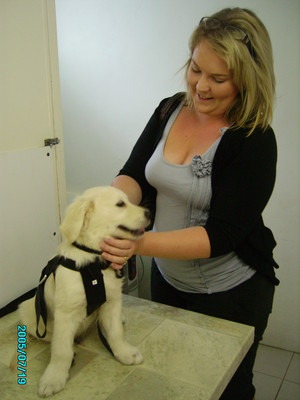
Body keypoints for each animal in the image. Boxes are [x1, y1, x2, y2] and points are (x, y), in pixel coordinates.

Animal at [14, 187, 150, 396]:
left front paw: (124, 353)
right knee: (50, 337)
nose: (149, 213)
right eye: (120, 204)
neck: (94, 265)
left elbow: (116, 333)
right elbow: (61, 349)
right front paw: (54, 377)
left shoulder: (112, 302)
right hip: (27, 311)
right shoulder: (66, 313)